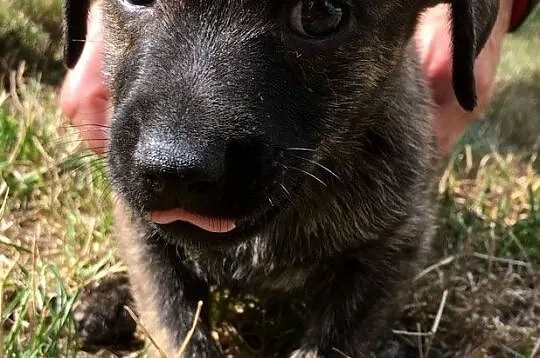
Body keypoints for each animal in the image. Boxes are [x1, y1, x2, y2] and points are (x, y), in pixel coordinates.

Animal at [62, 1, 498, 356]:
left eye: (320, 13)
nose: (174, 168)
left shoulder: (392, 248)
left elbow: (334, 344)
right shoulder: (143, 237)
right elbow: (174, 331)